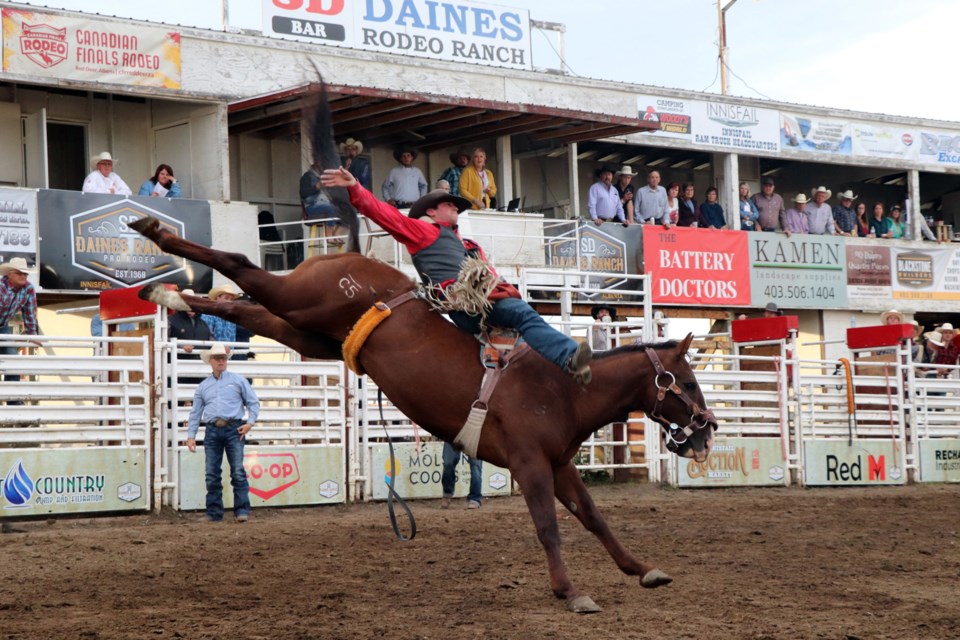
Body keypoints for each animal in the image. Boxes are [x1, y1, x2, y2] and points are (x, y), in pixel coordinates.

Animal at [129, 218, 712, 612]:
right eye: (685, 382)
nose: (708, 432)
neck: (563, 385)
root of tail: (345, 254)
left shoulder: (560, 464)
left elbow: (592, 517)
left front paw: (640, 569)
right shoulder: (529, 465)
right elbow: (548, 526)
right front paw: (571, 592)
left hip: (308, 331)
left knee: (244, 304)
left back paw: (170, 293)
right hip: (303, 297)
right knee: (241, 265)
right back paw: (157, 237)